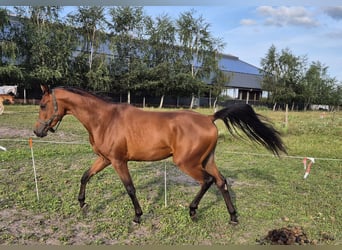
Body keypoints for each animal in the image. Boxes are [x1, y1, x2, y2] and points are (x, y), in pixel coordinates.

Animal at [34, 84, 286, 225]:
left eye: (43, 105)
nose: (37, 131)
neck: (105, 119)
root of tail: (209, 118)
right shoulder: (105, 159)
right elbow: (85, 176)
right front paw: (83, 204)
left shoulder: (118, 161)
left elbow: (130, 188)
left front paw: (137, 216)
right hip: (207, 160)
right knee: (221, 182)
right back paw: (232, 217)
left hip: (187, 163)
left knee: (207, 181)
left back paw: (193, 211)